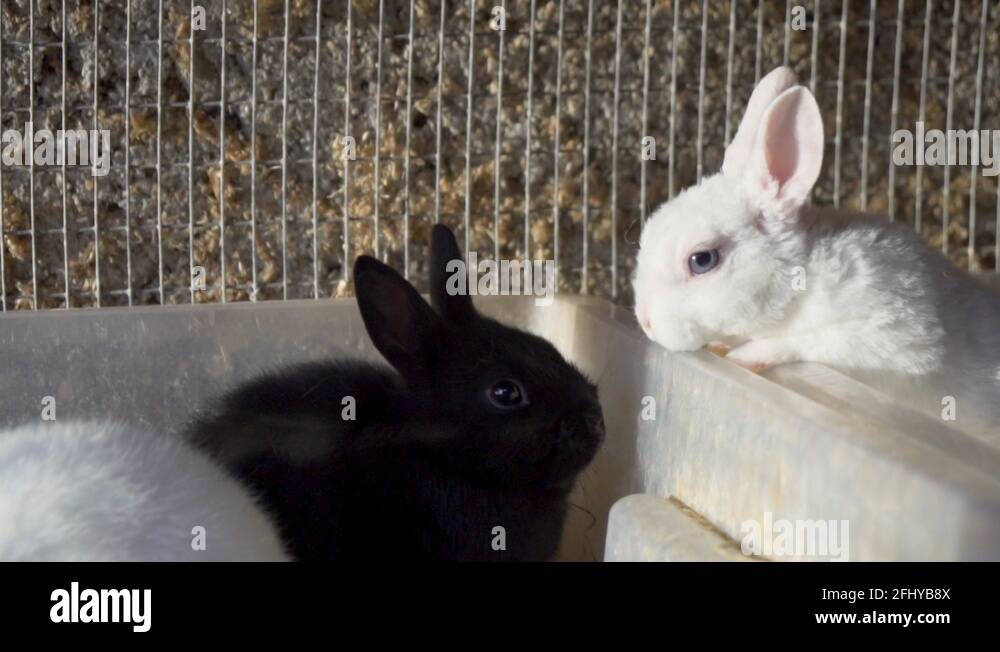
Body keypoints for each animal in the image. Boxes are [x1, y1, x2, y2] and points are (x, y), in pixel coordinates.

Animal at [633, 66, 1000, 437]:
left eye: (702, 260)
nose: (645, 322)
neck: (802, 278)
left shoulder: (897, 338)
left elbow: (811, 342)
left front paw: (747, 356)